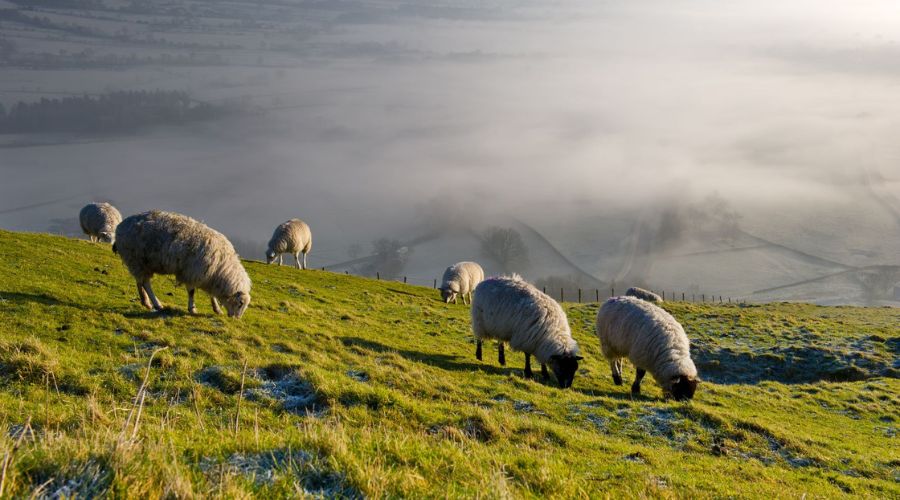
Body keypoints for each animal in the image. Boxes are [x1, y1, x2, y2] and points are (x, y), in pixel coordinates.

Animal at [115, 209, 253, 318]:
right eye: (240, 303)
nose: (236, 318)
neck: (221, 267)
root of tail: (120, 226)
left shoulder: (207, 276)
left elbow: (211, 295)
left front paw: (217, 309)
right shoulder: (192, 272)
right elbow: (191, 292)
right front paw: (192, 309)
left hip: (140, 264)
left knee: (140, 281)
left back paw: (145, 302)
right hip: (137, 259)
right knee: (145, 283)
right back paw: (157, 304)